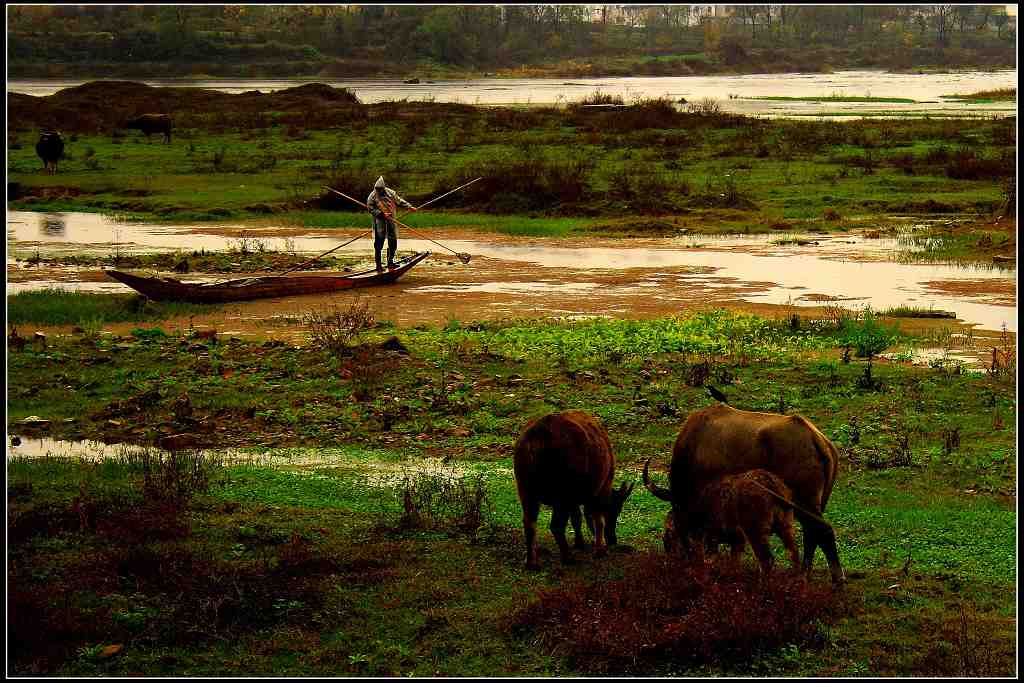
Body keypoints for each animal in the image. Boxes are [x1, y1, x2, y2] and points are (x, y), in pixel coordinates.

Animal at [516, 411, 634, 573]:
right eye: (615, 510)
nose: (612, 539)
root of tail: (539, 434)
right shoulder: (601, 488)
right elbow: (598, 519)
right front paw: (600, 549)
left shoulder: (574, 500)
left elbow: (577, 518)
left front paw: (580, 542)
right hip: (561, 497)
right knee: (556, 526)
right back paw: (567, 558)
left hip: (526, 491)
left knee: (529, 523)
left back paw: (532, 563)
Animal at [651, 464, 802, 577]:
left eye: (669, 531)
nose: (668, 550)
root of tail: (770, 483)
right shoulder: (737, 541)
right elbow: (734, 562)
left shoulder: (710, 537)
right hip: (786, 526)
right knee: (793, 553)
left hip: (756, 532)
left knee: (766, 560)